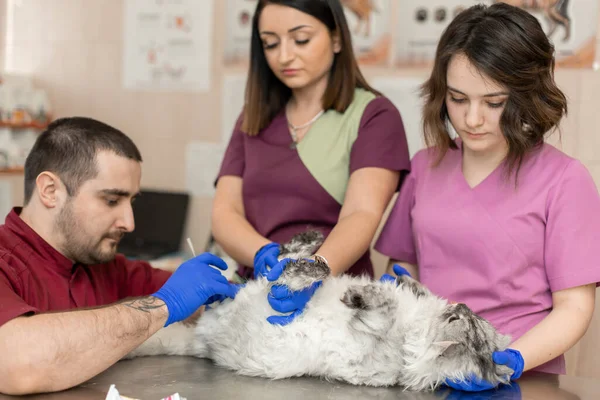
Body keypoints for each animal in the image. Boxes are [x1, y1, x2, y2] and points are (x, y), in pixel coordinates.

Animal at [129, 230, 512, 390]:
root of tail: (202, 344)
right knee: (276, 263)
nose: (460, 306)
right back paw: (308, 244)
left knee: (279, 276)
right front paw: (398, 282)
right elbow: (408, 290)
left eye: (471, 330)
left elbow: (382, 310)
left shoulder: (380, 349)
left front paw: (361, 294)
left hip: (235, 306)